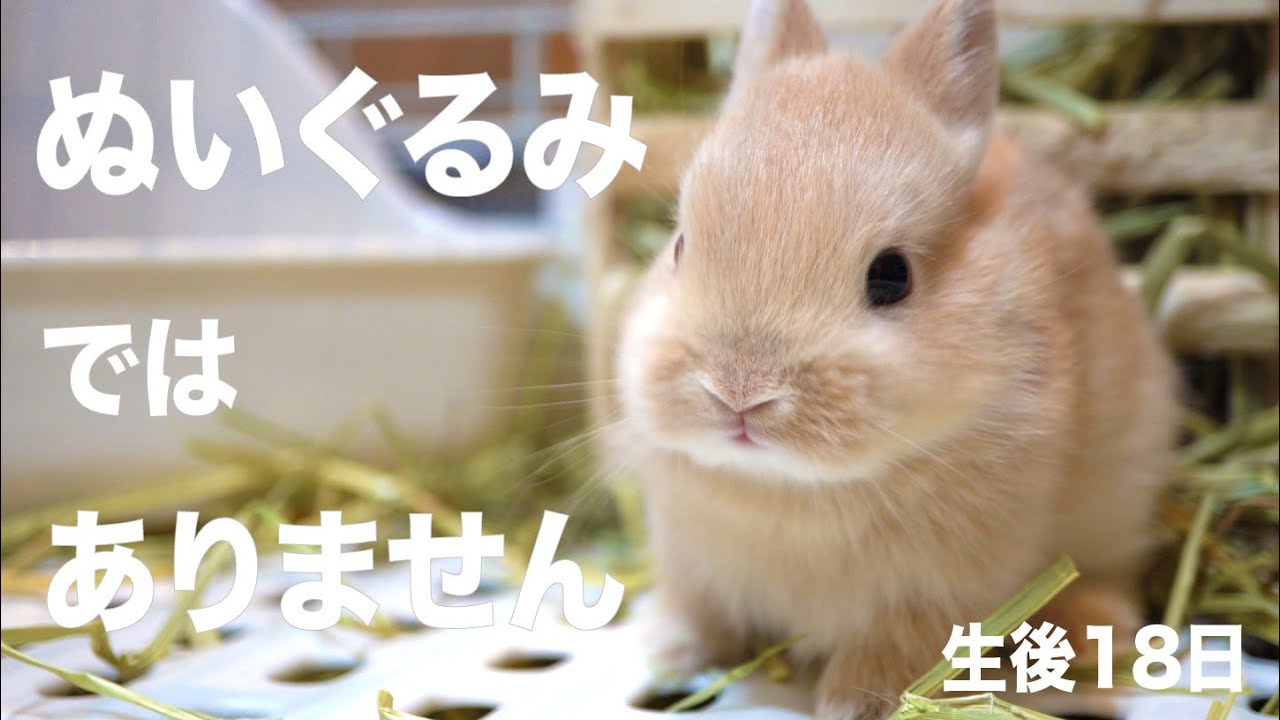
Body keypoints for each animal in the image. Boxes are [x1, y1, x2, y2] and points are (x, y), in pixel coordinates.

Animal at [607, 0, 1180, 717]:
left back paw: (1088, 636)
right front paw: (667, 650)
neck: (787, 489)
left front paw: (856, 700)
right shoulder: (691, 557)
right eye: (680, 246)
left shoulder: (945, 585)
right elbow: (700, 611)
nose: (739, 393)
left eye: (892, 276)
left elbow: (903, 644)